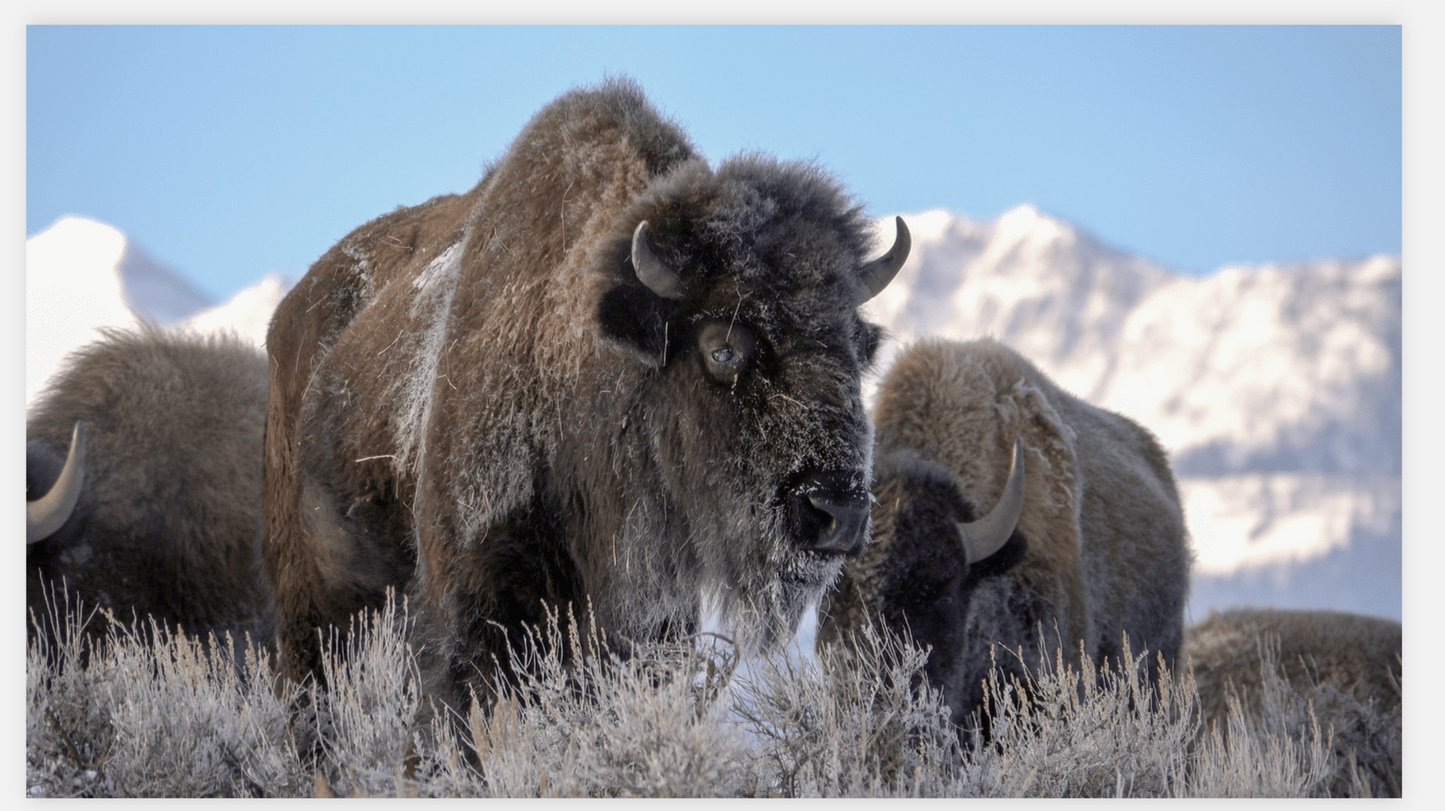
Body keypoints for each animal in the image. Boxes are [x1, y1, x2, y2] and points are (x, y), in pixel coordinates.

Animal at [262, 77, 901, 708]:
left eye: (862, 346)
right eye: (723, 347)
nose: (837, 510)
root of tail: (285, 321)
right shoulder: (469, 619)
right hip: (312, 614)